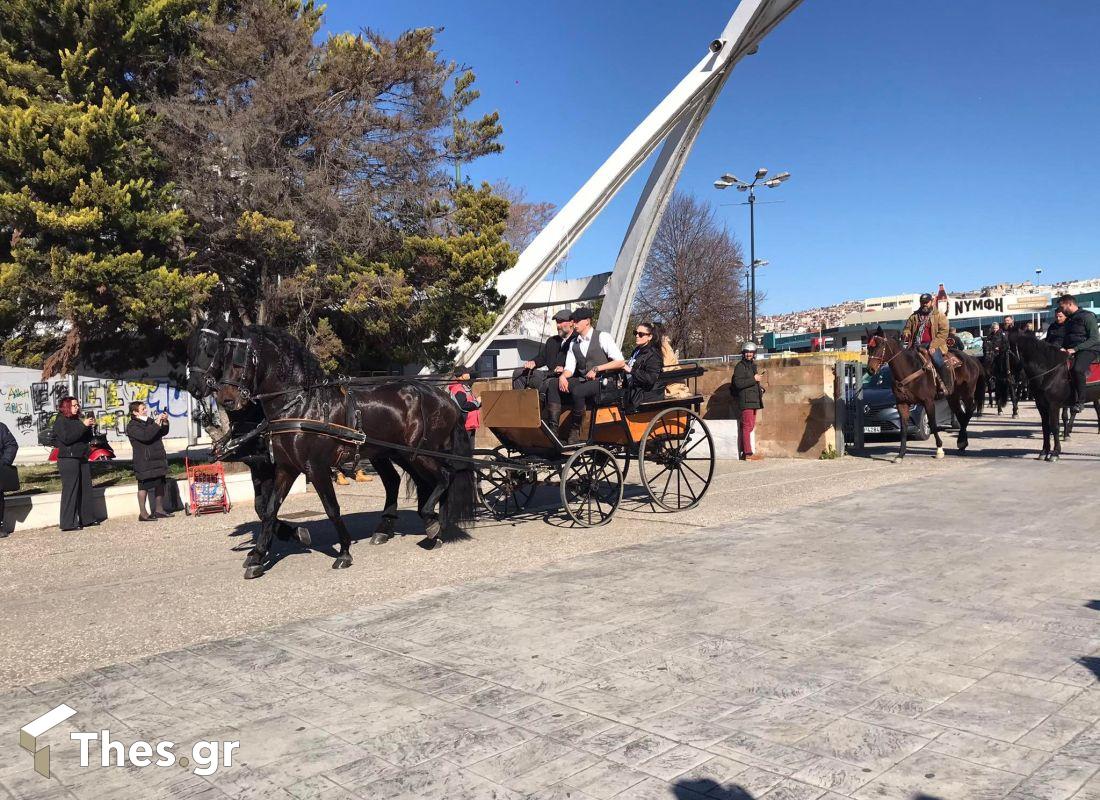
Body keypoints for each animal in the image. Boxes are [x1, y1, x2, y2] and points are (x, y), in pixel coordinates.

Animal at [212, 327, 475, 581]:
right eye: (221, 359)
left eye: (239, 358)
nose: (226, 399)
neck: (302, 406)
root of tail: (445, 398)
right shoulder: (286, 468)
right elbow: (269, 510)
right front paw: (257, 557)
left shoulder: (315, 468)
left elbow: (331, 508)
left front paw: (344, 552)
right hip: (399, 454)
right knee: (411, 481)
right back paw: (423, 527)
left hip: (420, 453)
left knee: (444, 476)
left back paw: (432, 521)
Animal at [866, 327, 990, 462]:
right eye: (868, 347)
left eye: (880, 346)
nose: (870, 369)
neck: (909, 370)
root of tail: (972, 359)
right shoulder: (902, 404)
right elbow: (904, 428)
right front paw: (900, 454)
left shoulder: (928, 402)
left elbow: (932, 423)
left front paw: (939, 450)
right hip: (953, 397)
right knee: (961, 415)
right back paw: (962, 441)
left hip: (967, 393)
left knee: (970, 410)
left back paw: (961, 440)